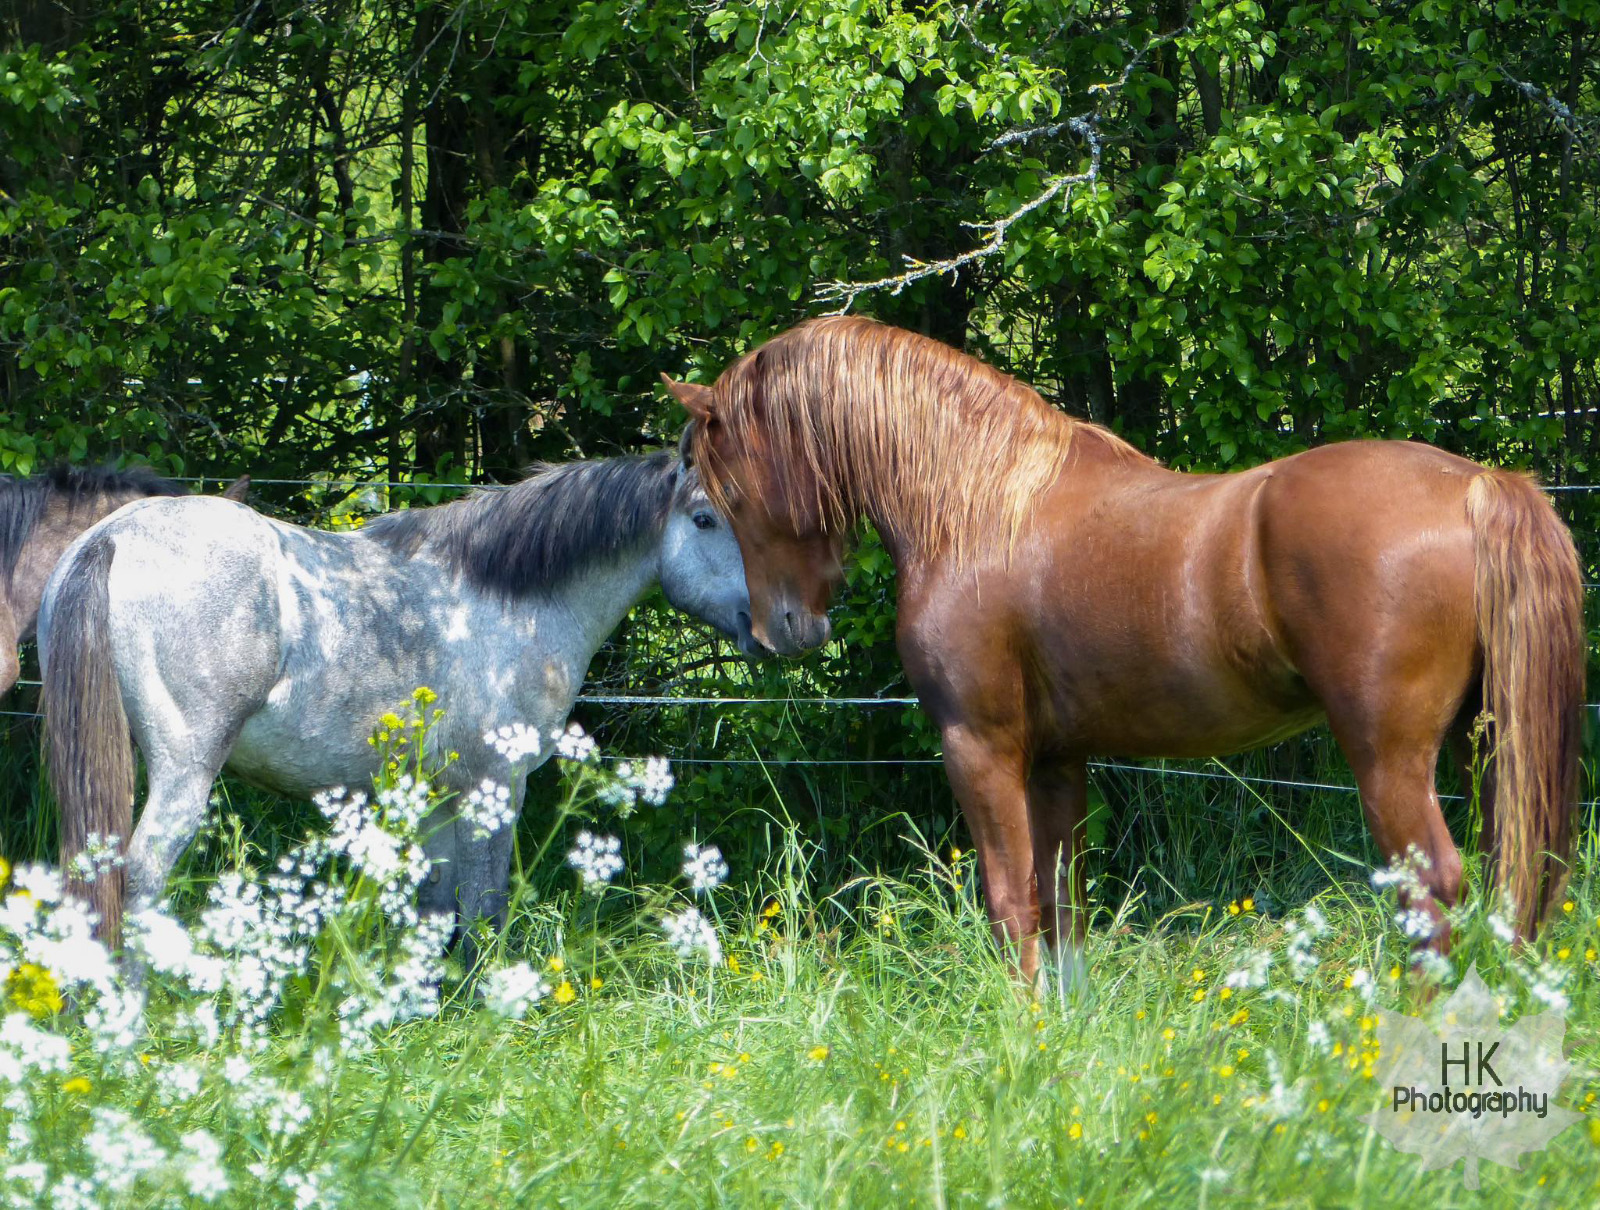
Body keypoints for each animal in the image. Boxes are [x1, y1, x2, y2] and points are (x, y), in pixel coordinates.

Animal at [40, 452, 761, 946]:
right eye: (704, 520)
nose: (773, 622)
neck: (512, 597)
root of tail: (112, 538)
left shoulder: (438, 793)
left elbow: (438, 905)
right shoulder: (495, 784)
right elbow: (484, 903)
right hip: (184, 769)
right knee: (141, 875)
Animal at [668, 315, 1586, 992]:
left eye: (725, 499)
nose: (779, 630)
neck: (979, 503)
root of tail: (1475, 485)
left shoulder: (980, 747)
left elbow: (1009, 901)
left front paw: (1022, 1035)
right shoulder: (1056, 761)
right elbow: (1061, 906)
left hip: (1388, 756)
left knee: (1432, 892)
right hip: (1481, 744)